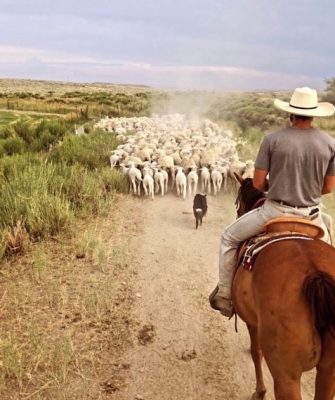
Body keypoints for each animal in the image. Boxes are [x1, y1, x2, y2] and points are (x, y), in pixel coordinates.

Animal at [232, 177, 335, 400]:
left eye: (237, 204)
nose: (238, 213)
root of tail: (316, 275)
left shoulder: (252, 322)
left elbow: (256, 351)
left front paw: (260, 391)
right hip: (328, 372)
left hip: (286, 376)